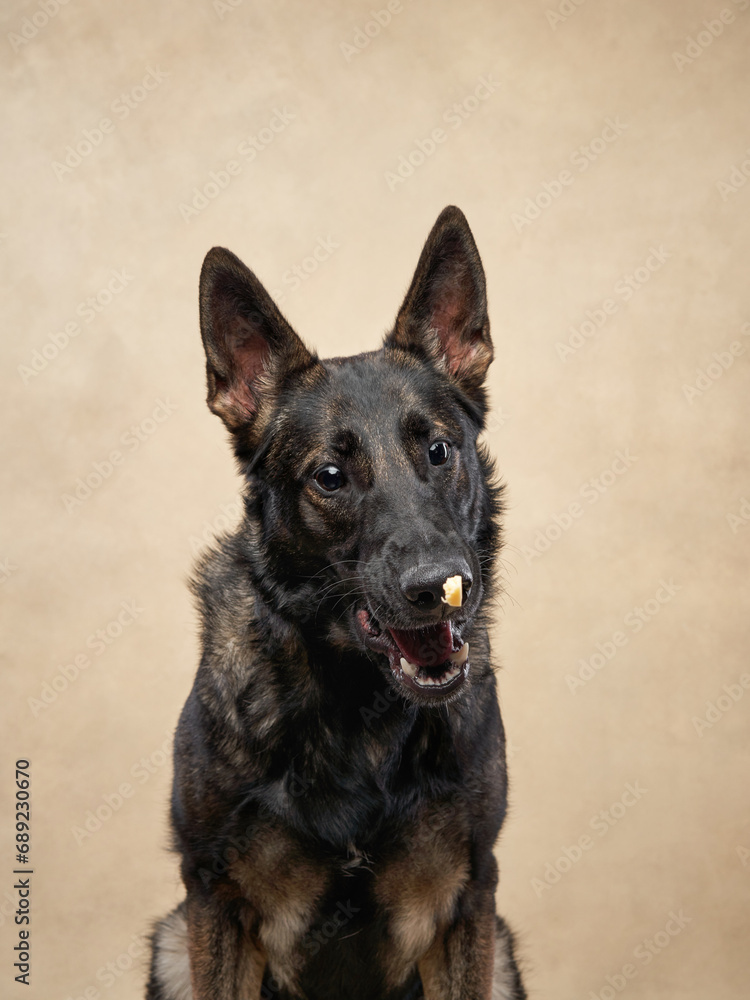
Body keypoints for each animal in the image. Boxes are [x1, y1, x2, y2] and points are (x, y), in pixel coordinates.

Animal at [147, 205, 528, 1000]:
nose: (437, 584)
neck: (360, 709)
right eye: (329, 475)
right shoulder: (214, 900)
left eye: (439, 451)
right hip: (172, 941)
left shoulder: (467, 899)